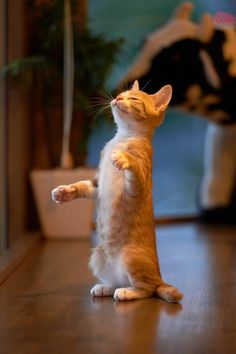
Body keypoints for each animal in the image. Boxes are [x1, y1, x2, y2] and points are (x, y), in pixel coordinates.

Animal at [52, 80, 183, 302]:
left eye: (133, 98)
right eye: (122, 93)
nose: (118, 98)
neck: (123, 137)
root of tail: (159, 277)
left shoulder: (138, 184)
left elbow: (133, 167)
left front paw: (123, 158)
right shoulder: (97, 183)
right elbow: (84, 186)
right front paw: (64, 192)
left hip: (131, 259)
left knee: (147, 289)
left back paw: (128, 292)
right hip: (97, 256)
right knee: (118, 282)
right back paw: (105, 287)